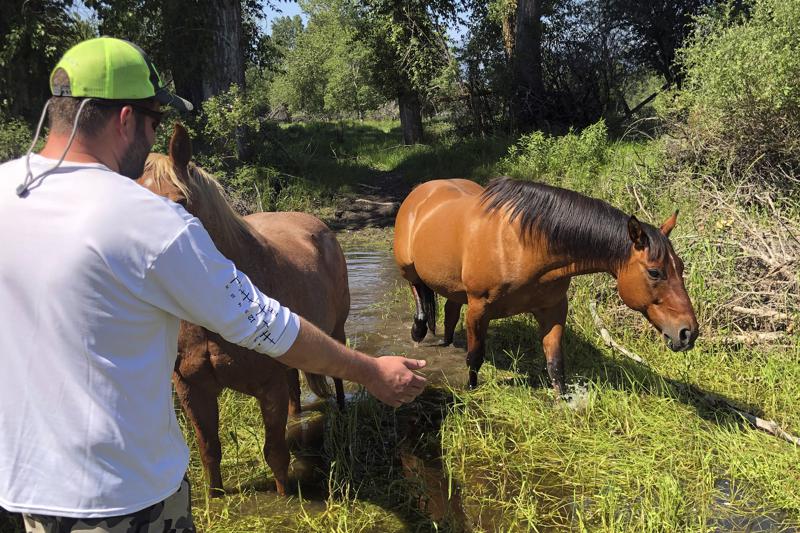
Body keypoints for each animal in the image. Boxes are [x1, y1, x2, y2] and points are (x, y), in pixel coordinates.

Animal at [138, 124, 350, 494]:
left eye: (181, 203)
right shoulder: (193, 390)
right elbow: (209, 451)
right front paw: (216, 496)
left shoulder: (268, 386)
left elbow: (275, 455)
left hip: (337, 331)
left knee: (336, 379)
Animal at [396, 178, 696, 390]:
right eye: (655, 272)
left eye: (681, 266)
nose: (688, 333)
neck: (522, 244)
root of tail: (422, 191)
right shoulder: (479, 308)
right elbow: (475, 356)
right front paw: (471, 388)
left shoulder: (553, 309)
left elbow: (555, 363)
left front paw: (562, 401)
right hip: (408, 268)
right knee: (418, 292)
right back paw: (418, 329)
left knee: (449, 310)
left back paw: (446, 340)